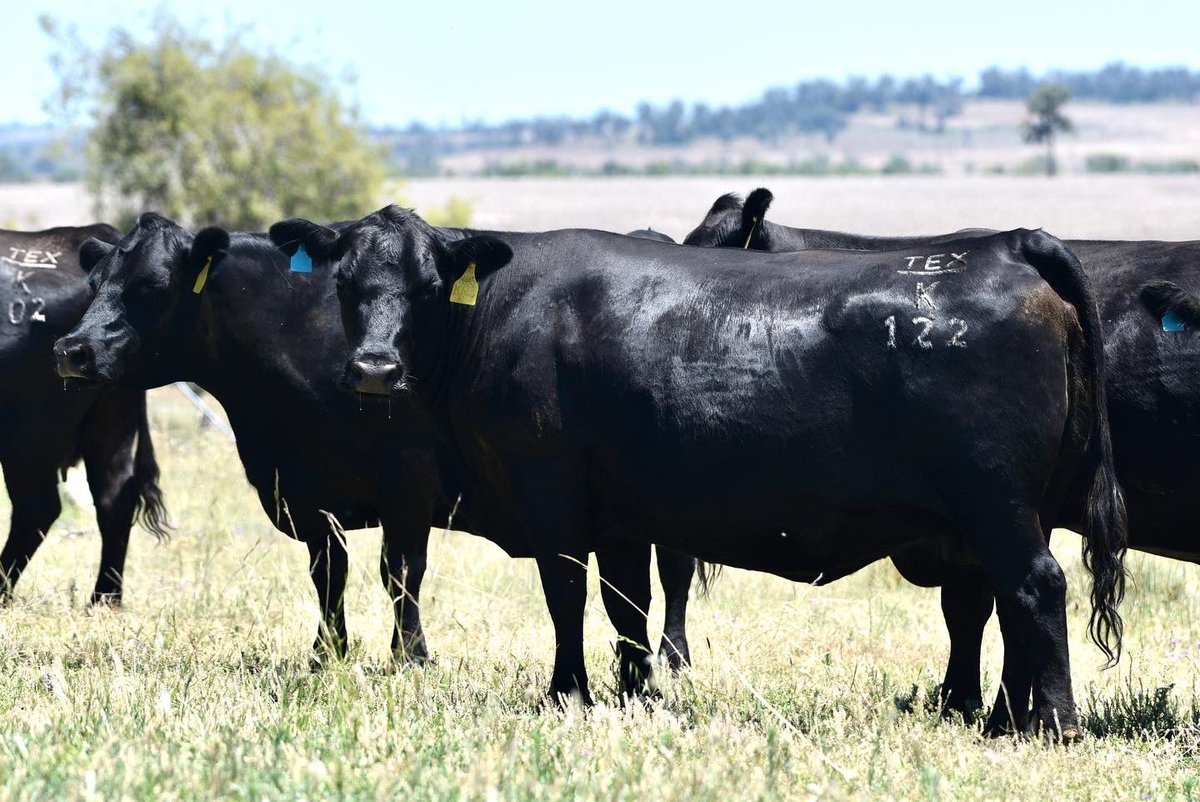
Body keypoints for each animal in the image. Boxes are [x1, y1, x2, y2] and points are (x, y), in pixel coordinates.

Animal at [51, 213, 700, 677]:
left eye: (150, 285)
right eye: (94, 283)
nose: (72, 349)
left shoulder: (407, 478)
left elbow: (401, 570)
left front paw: (410, 655)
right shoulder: (308, 489)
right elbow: (329, 573)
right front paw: (327, 651)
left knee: (676, 570)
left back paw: (674, 656)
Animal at [269, 204, 1126, 740]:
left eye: (425, 287)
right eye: (344, 284)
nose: (374, 368)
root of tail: (1008, 242)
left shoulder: (549, 492)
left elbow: (565, 594)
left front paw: (567, 693)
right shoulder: (616, 510)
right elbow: (627, 603)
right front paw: (634, 691)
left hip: (997, 501)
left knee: (1034, 587)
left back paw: (1050, 724)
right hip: (1009, 508)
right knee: (1006, 601)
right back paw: (1005, 717)